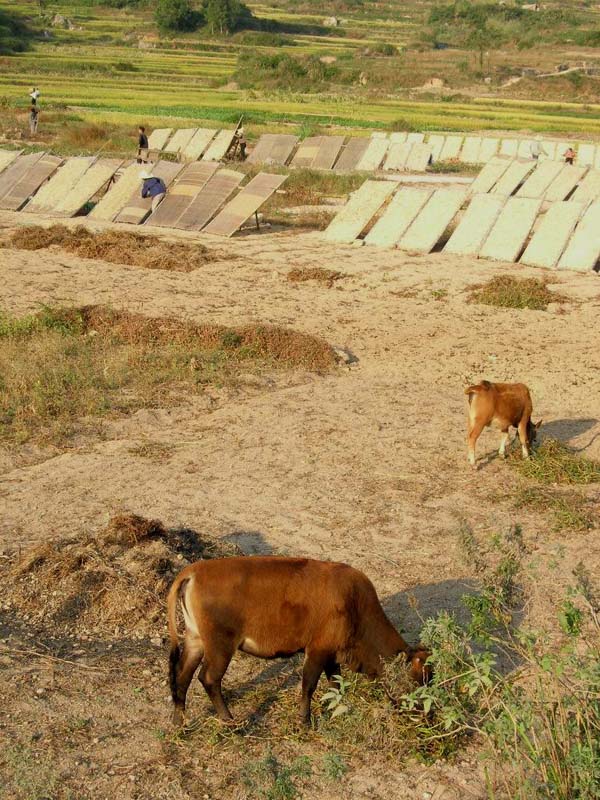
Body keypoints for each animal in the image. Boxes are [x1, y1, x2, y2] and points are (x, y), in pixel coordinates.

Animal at [168, 556, 432, 724]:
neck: (354, 604)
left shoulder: (331, 655)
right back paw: (229, 720)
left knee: (182, 673)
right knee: (208, 678)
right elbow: (309, 685)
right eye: (419, 679)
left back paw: (179, 720)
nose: (427, 715)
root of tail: (193, 572)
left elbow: (335, 683)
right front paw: (305, 720)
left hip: (195, 640)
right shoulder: (317, 651)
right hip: (220, 647)